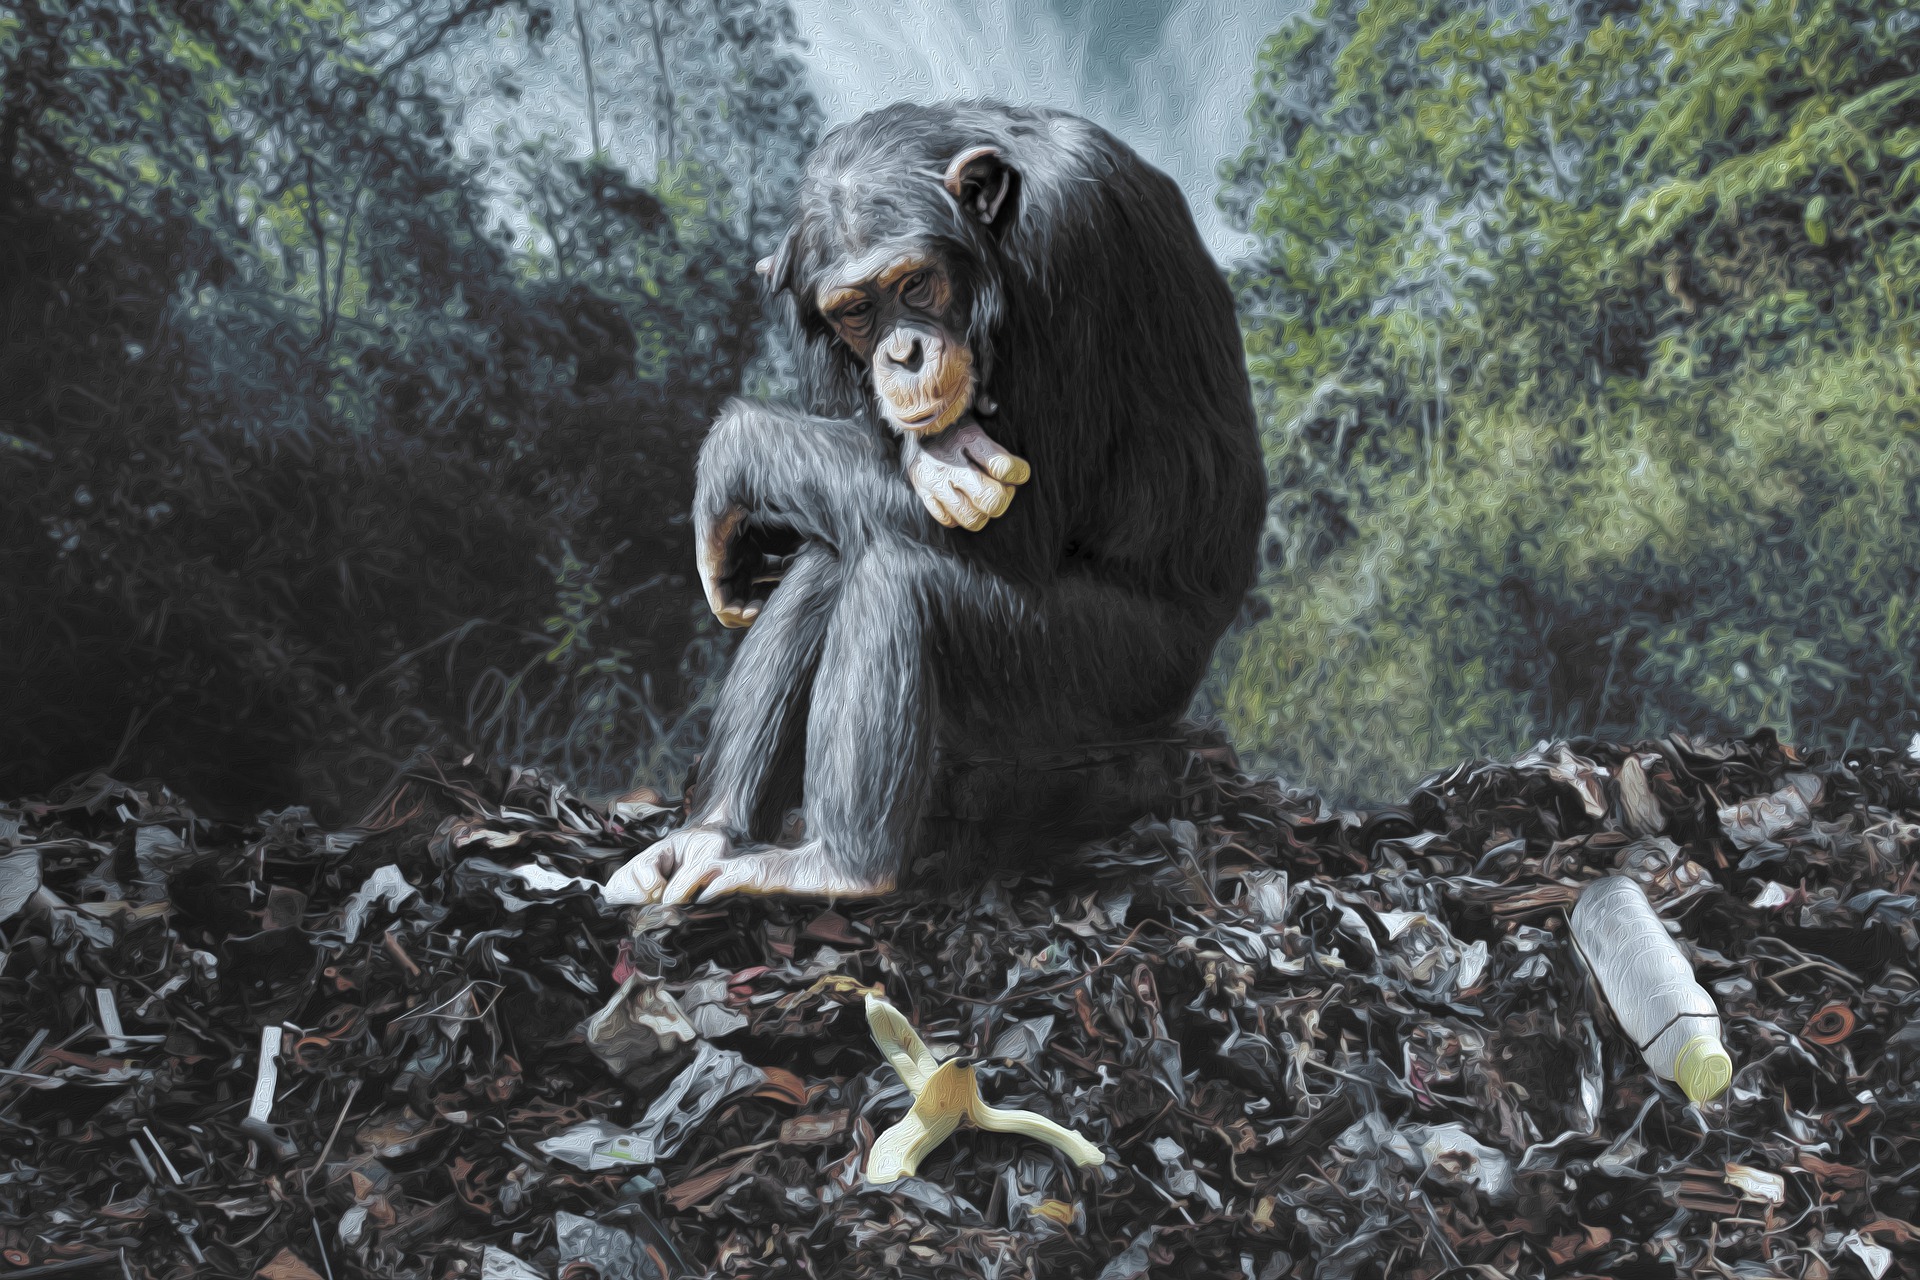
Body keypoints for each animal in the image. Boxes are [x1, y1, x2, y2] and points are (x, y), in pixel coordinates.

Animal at [604, 101, 1266, 906]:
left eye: (915, 284)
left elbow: (1023, 535)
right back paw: (709, 832)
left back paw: (840, 866)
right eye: (857, 311)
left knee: (900, 577)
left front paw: (734, 453)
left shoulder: (1072, 239)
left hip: (1107, 678)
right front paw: (932, 457)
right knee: (832, 555)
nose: (904, 354)